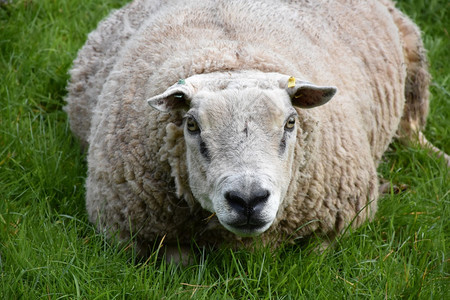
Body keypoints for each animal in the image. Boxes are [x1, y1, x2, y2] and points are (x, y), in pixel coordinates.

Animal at [65, 0, 448, 262]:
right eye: (192, 124)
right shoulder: (131, 234)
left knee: (413, 131)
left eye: (291, 122)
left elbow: (313, 255)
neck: (232, 59)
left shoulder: (340, 220)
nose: (248, 200)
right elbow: (178, 261)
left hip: (413, 63)